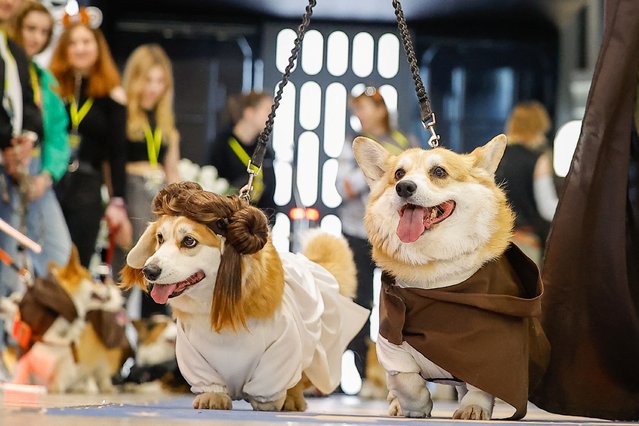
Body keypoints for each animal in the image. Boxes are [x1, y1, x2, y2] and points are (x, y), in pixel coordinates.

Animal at [121, 182, 370, 412]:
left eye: (189, 241)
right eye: (160, 238)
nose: (149, 271)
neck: (213, 304)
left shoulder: (283, 349)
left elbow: (270, 381)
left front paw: (269, 403)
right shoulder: (193, 354)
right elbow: (208, 380)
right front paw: (213, 397)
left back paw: (291, 400)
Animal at [356, 136, 552, 420]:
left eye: (439, 172)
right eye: (399, 174)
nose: (404, 187)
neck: (435, 276)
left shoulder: (491, 347)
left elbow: (483, 382)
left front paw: (474, 409)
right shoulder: (392, 347)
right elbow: (407, 382)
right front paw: (415, 408)